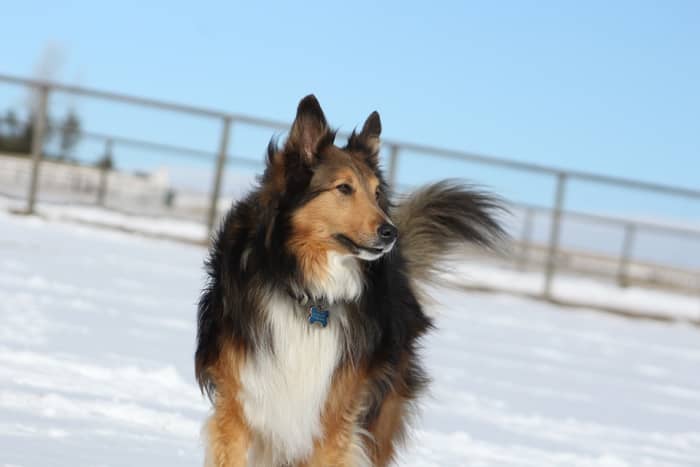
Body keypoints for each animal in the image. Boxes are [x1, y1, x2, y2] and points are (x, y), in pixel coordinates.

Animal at [194, 94, 506, 464]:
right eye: (344, 188)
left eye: (376, 192)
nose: (390, 233)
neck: (307, 289)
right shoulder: (239, 406)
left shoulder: (333, 419)